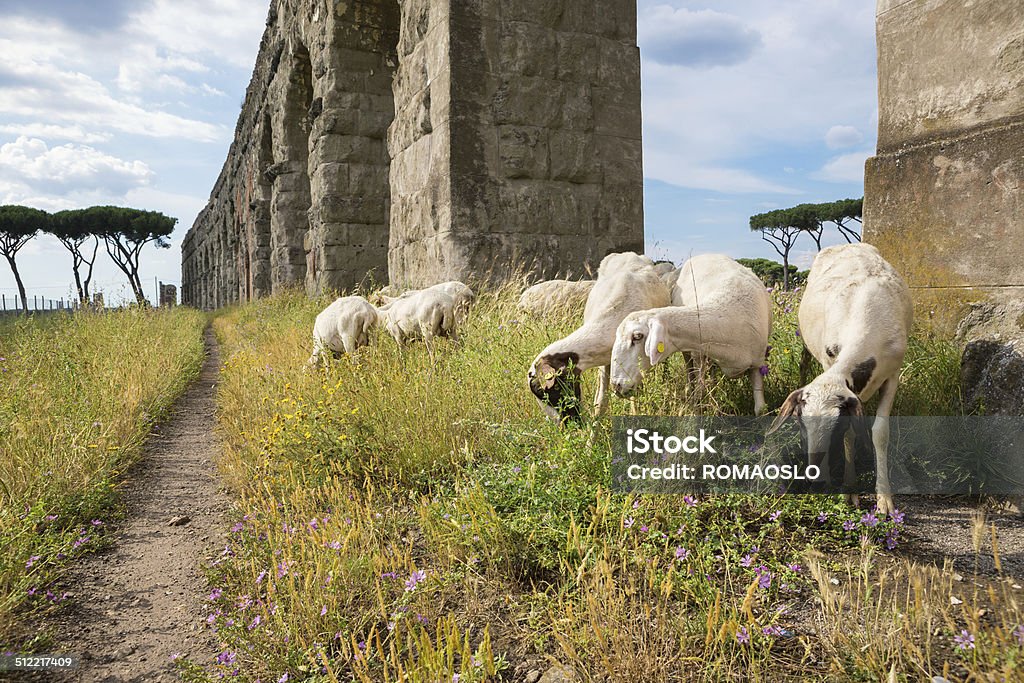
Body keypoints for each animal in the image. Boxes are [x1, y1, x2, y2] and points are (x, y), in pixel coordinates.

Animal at [528, 250, 671, 421]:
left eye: (550, 390)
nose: (568, 424)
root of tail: (628, 253)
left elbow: (634, 396)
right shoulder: (606, 363)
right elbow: (601, 400)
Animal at [606, 253, 770, 413]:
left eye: (637, 336)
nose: (616, 386)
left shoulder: (757, 364)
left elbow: (760, 409)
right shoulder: (699, 355)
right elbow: (699, 393)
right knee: (691, 373)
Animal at [770, 242, 913, 516]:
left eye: (834, 425)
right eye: (800, 421)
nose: (812, 472)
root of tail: (847, 244)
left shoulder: (893, 375)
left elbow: (879, 432)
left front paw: (884, 499)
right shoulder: (830, 362)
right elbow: (851, 435)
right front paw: (849, 489)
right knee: (804, 363)